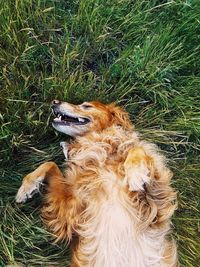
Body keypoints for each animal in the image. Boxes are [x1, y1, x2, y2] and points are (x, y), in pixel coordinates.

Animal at [16, 101, 178, 267]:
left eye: (86, 106)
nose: (55, 102)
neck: (103, 154)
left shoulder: (157, 203)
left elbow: (137, 149)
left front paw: (136, 172)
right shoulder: (71, 212)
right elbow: (49, 163)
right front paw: (26, 188)